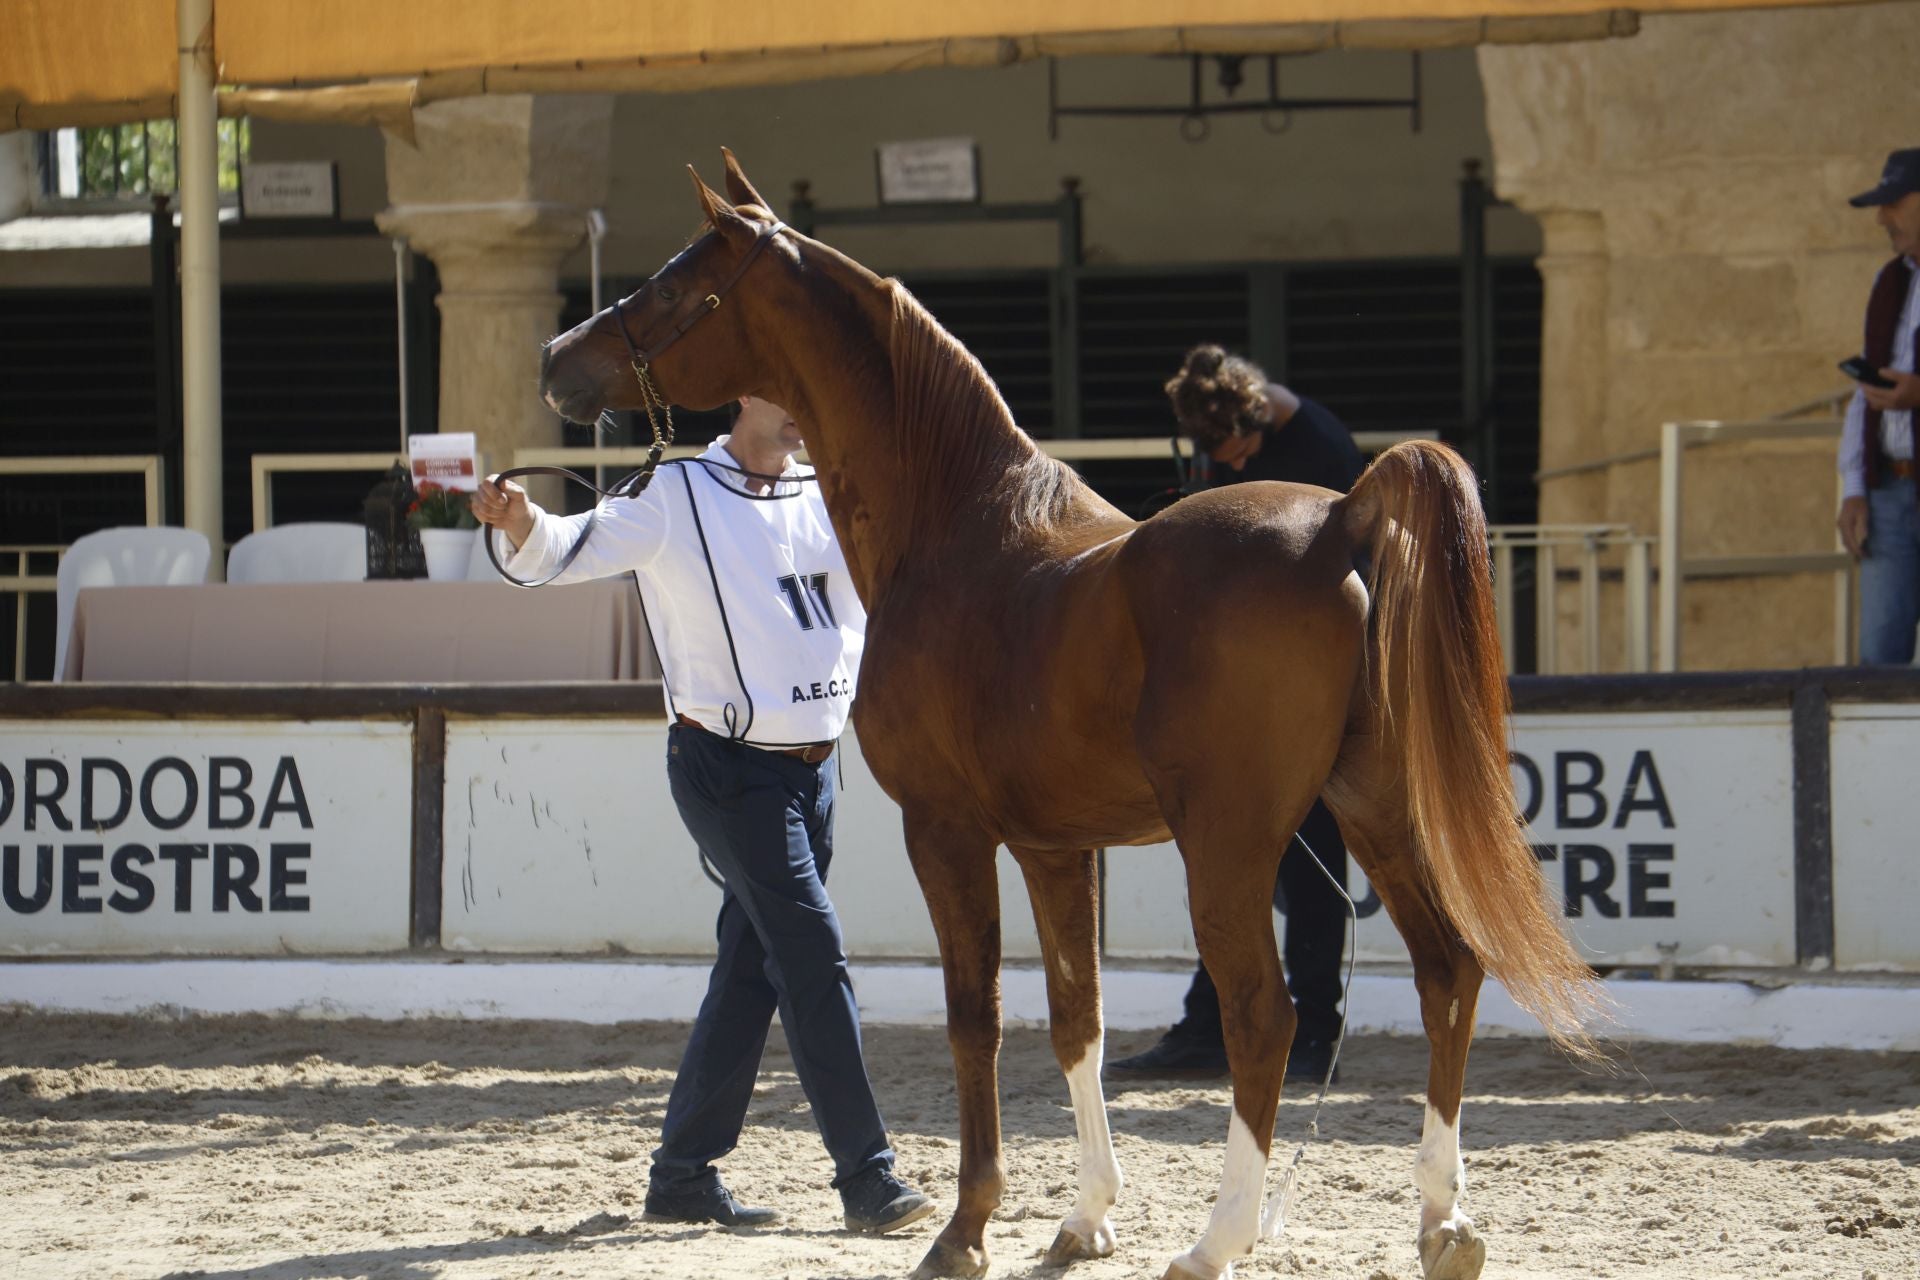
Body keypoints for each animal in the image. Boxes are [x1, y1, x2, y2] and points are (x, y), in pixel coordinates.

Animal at [537, 150, 1600, 1280]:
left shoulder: (947, 831)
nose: (559, 358)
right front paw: (1085, 1216)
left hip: (1232, 843)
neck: (955, 529)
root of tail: (1339, 521)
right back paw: (1444, 1223)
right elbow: (1072, 1018)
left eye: (674, 288)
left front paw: (965, 1230)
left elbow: (977, 1020)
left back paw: (1218, 1238)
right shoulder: (1057, 847)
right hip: (1374, 810)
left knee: (1264, 1013)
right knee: (1448, 968)